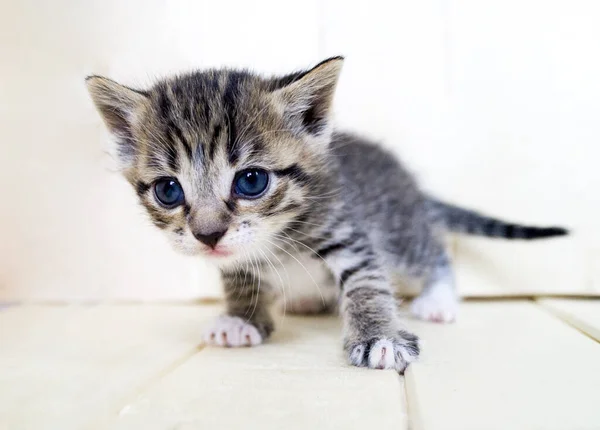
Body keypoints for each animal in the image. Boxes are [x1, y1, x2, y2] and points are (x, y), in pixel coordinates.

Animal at [84, 57, 568, 372]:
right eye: (168, 190)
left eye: (251, 181)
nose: (207, 235)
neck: (275, 240)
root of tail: (409, 183)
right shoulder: (237, 256)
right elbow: (239, 277)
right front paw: (242, 319)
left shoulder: (349, 233)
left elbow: (367, 284)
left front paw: (380, 336)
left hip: (401, 233)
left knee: (434, 252)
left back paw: (438, 299)